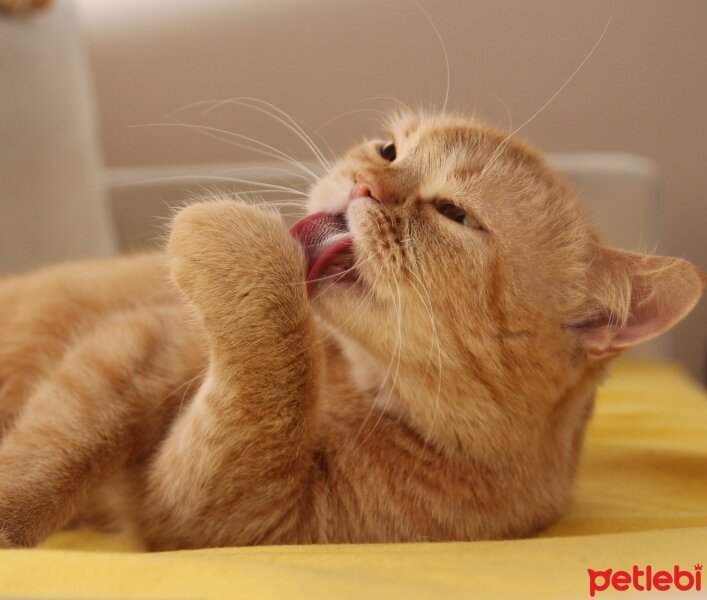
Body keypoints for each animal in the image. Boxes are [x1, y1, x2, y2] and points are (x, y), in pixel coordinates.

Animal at [0, 112, 704, 548]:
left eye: (454, 213)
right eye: (389, 149)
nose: (364, 182)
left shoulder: (227, 513)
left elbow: (267, 393)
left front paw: (233, 239)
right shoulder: (141, 351)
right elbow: (62, 446)